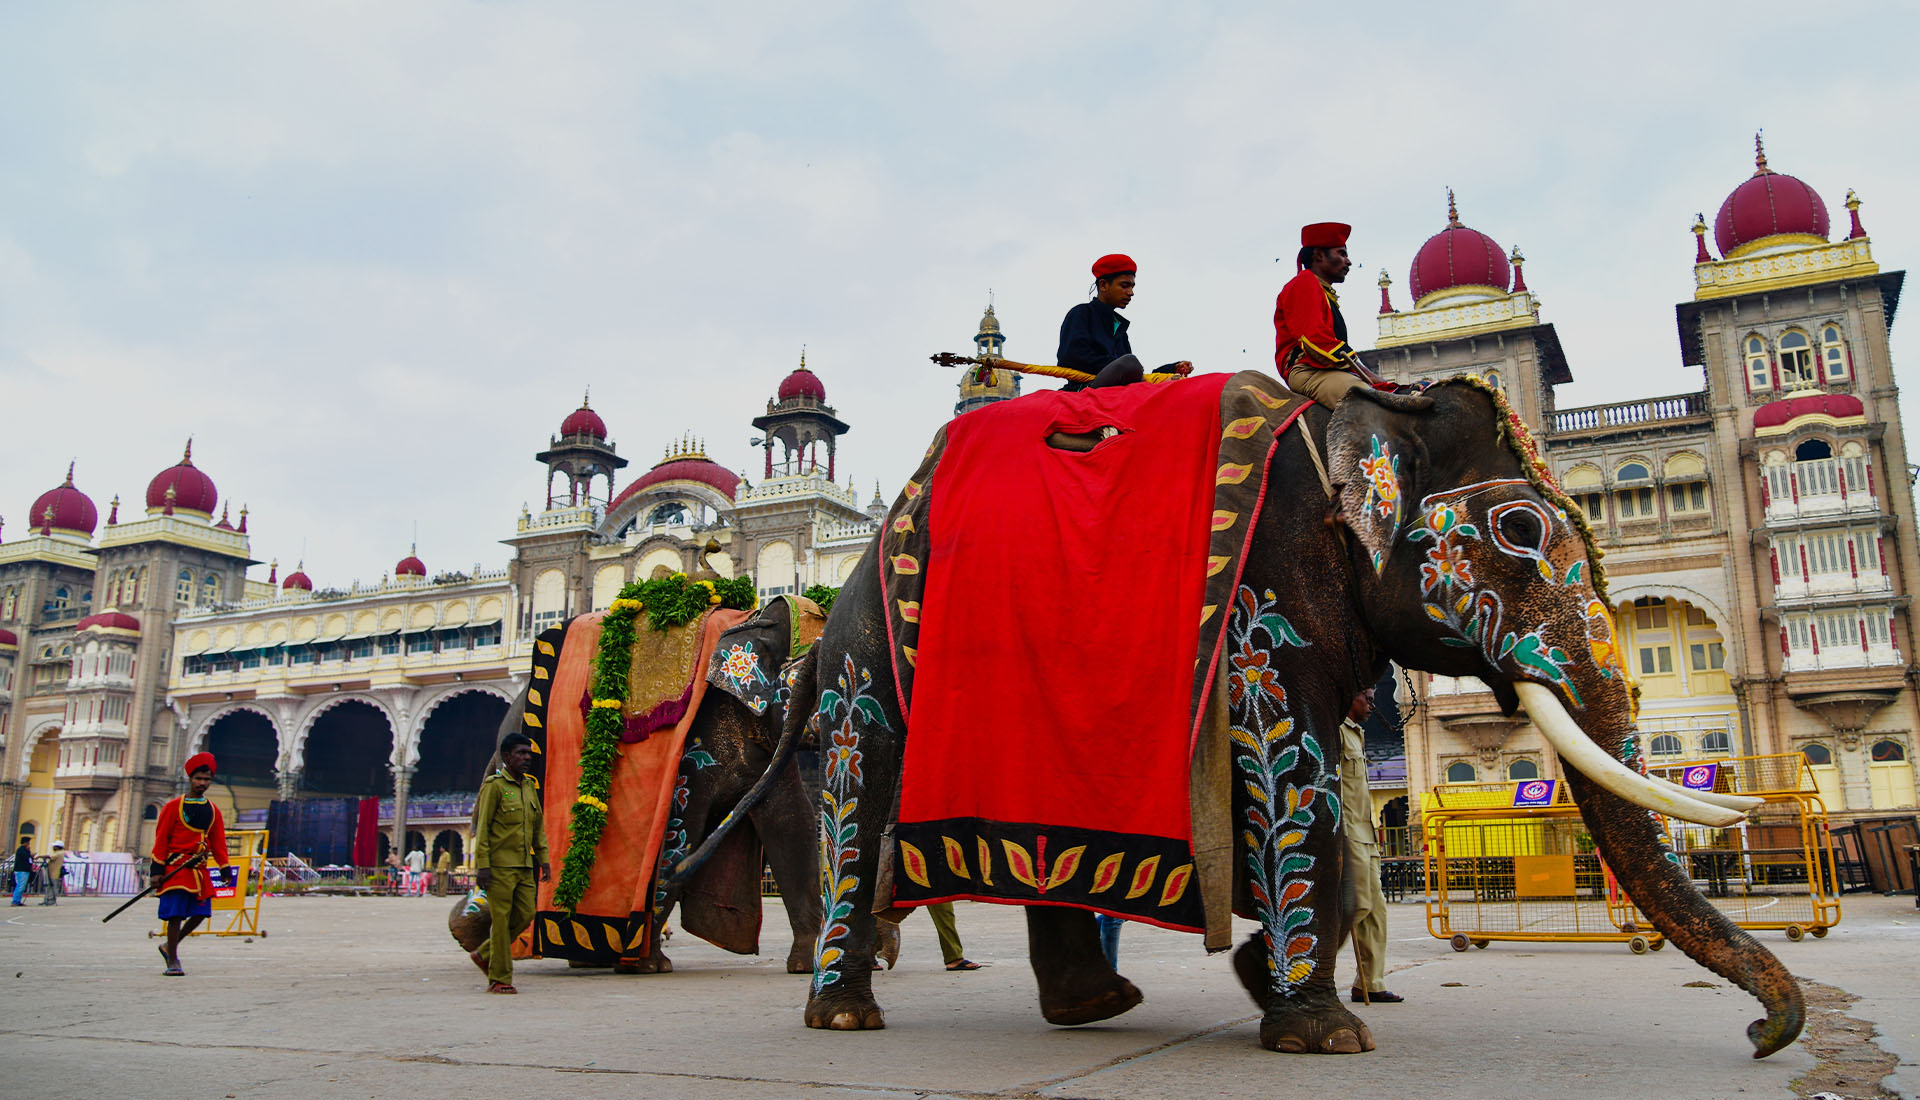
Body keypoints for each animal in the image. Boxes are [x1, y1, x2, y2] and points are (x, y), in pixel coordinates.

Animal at [691, 368, 1797, 1052]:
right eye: (1520, 531)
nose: (1759, 1034)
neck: (1367, 407)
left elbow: (1322, 812)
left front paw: (1271, 990)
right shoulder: (1271, 599)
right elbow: (1294, 769)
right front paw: (1325, 1035)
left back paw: (1097, 1004)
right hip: (866, 654)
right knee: (857, 794)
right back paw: (845, 1016)